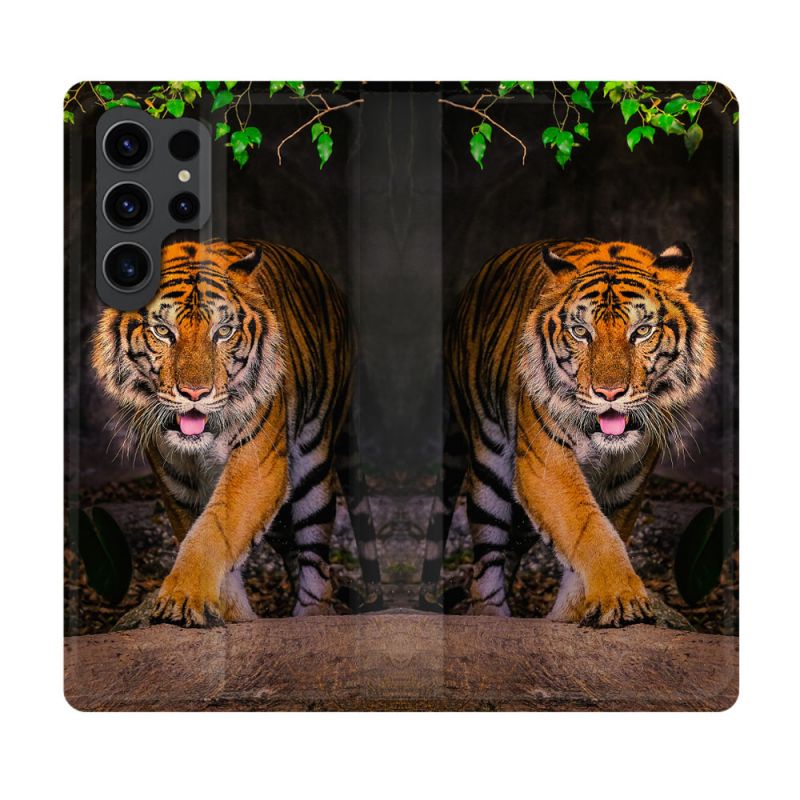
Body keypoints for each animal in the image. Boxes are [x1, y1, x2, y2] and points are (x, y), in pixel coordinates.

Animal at [92, 237, 383, 627]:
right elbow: (205, 536)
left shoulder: (257, 466)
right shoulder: (176, 483)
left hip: (314, 466)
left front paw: (183, 597)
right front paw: (231, 615)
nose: (195, 393)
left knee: (317, 565)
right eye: (163, 332)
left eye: (223, 332)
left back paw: (310, 616)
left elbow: (214, 531)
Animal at [420, 239, 714, 627]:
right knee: (486, 561)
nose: (609, 393)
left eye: (641, 332)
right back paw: (492, 615)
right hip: (488, 467)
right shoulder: (545, 467)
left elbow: (600, 535)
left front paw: (573, 614)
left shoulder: (627, 484)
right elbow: (589, 529)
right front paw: (621, 597)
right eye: (580, 332)